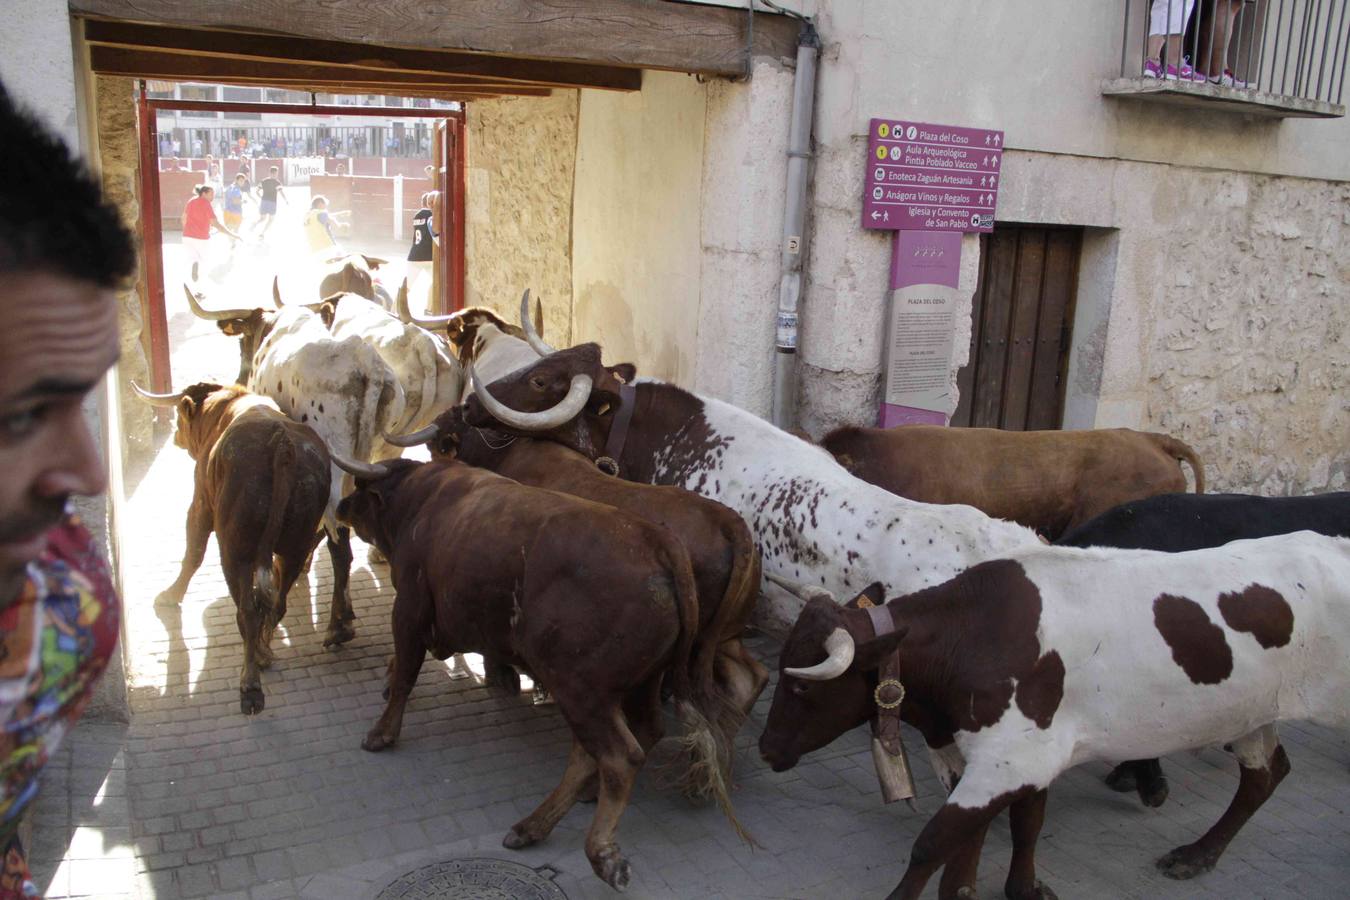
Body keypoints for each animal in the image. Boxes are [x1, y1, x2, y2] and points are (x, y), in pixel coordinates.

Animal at [134, 383, 329, 712]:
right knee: (277, 602)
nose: (175, 436)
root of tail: (282, 445)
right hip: (295, 546)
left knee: (248, 610)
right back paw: (263, 653)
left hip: (233, 550)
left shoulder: (200, 503)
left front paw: (169, 596)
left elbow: (193, 554)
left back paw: (250, 682)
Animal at [329, 453, 750, 890]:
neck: (422, 498)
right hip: (634, 685)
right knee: (629, 737)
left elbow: (404, 677)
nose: (341, 507)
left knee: (618, 756)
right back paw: (534, 826)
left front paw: (382, 733)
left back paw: (600, 852)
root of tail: (660, 543)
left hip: (580, 689)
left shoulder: (409, 610)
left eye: (361, 489)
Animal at [761, 534, 1350, 900]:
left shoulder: (1011, 758)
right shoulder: (1020, 757)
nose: (766, 749)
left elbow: (932, 843)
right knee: (1265, 774)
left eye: (800, 684)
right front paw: (1013, 887)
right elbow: (1021, 827)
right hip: (1250, 712)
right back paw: (1198, 854)